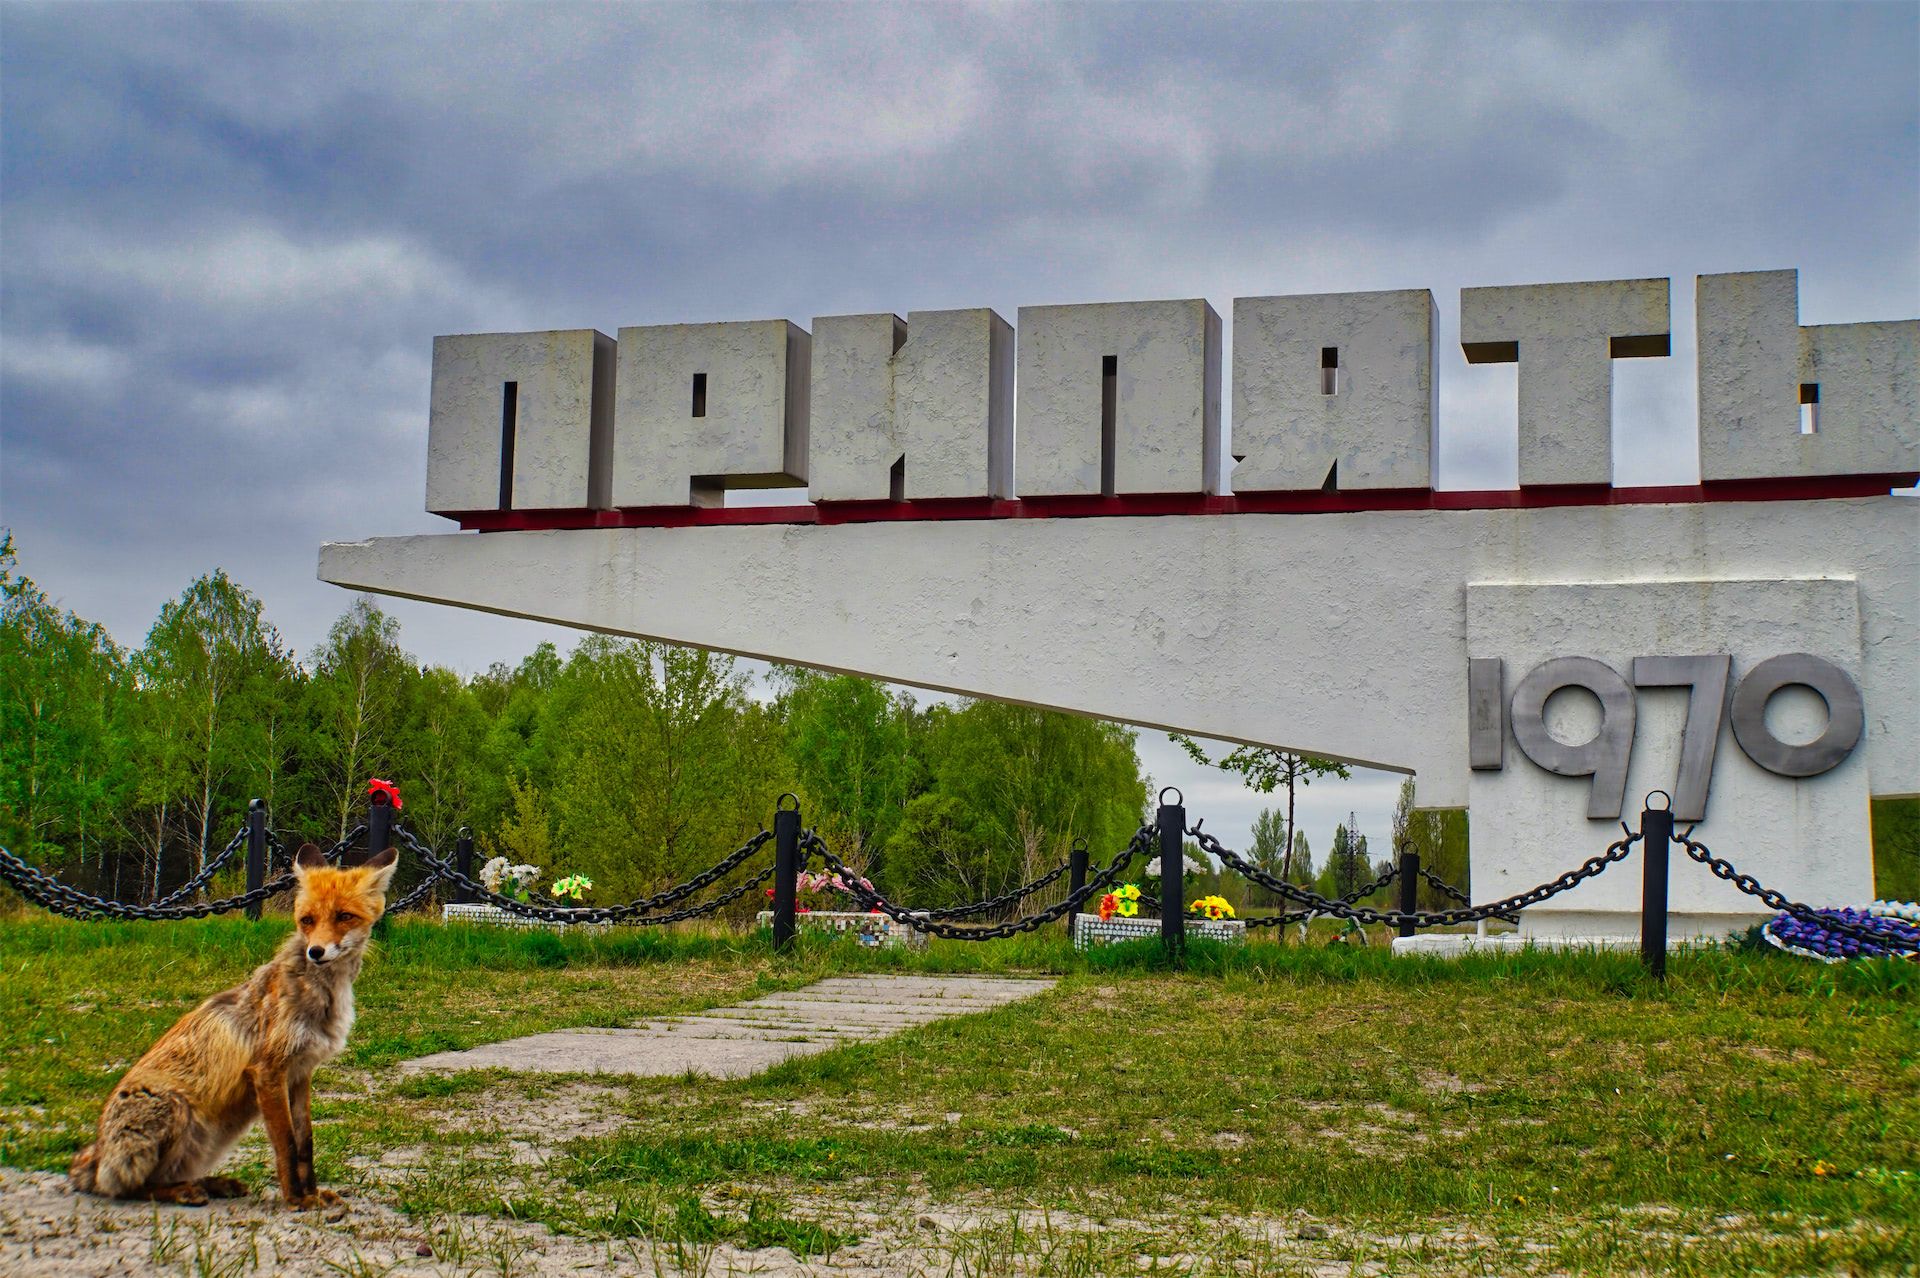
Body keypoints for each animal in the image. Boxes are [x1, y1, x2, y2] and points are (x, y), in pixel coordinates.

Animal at [68, 840, 397, 1197]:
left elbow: (305, 1142)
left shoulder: (301, 1072)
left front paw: (313, 1194)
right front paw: (297, 1199)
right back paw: (184, 1192)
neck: (325, 996)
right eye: (307, 920)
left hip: (209, 1139)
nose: (316, 952)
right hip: (177, 1110)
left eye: (344, 917)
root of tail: (95, 1157)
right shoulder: (268, 1071)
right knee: (132, 1186)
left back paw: (213, 1184)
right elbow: (286, 1144)